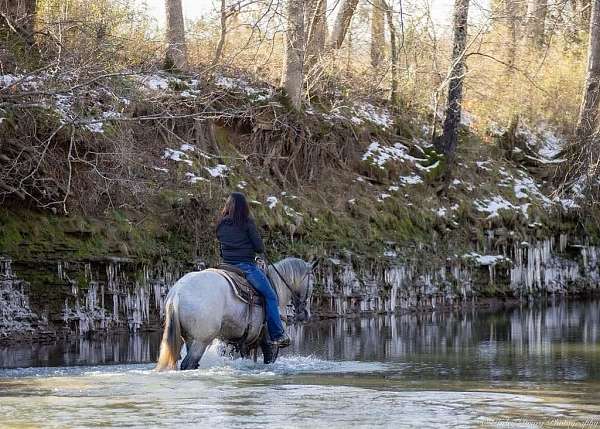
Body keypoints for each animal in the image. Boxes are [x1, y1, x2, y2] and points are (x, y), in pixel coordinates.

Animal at [156, 256, 318, 370]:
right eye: (313, 282)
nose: (305, 314)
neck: (277, 287)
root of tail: (177, 294)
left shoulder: (245, 344)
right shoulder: (270, 344)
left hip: (190, 338)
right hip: (201, 340)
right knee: (189, 363)